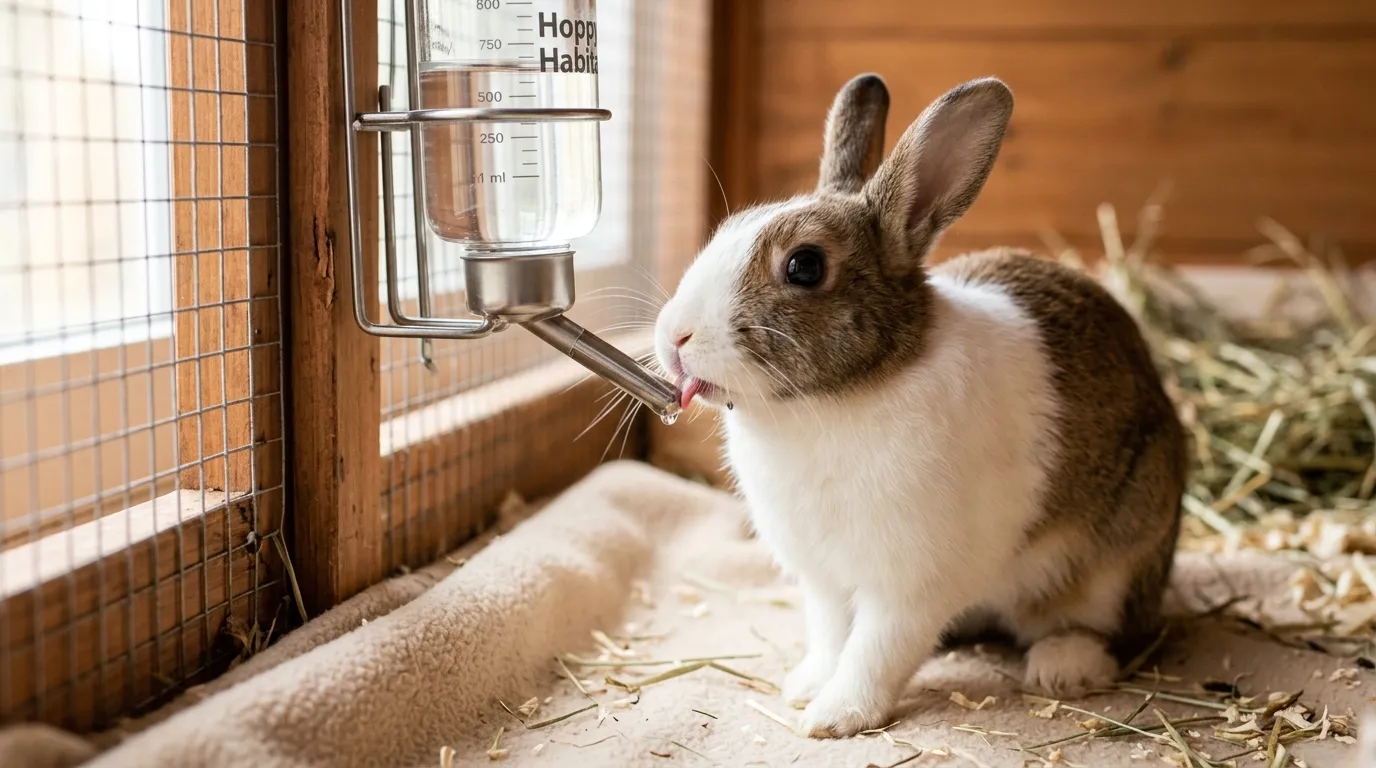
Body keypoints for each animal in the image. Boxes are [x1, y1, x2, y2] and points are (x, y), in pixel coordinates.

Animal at [652, 73, 1188, 739]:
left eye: (804, 265)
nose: (675, 335)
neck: (836, 398)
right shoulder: (824, 580)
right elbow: (831, 637)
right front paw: (805, 688)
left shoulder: (908, 583)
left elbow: (877, 650)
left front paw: (834, 717)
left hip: (1121, 554)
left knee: (1113, 632)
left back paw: (1064, 666)